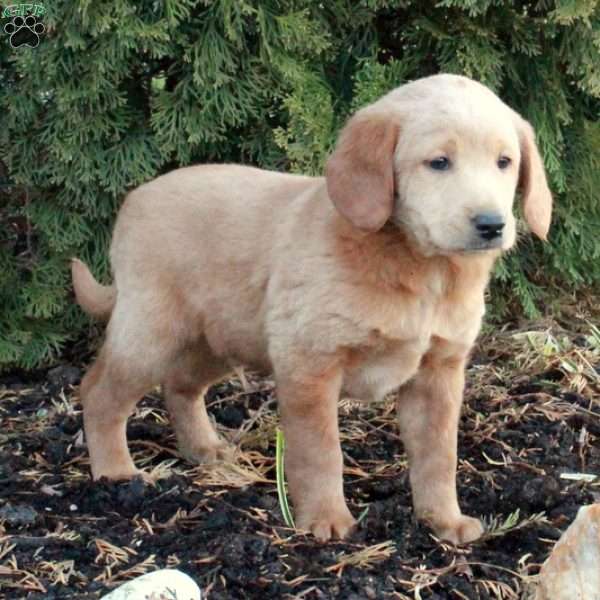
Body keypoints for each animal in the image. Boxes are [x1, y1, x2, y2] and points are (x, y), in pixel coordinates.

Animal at [72, 74, 552, 544]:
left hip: (218, 338)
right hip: (150, 334)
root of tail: (134, 199)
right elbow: (321, 452)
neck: (422, 270)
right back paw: (116, 472)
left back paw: (203, 448)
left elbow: (438, 456)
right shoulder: (309, 364)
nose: (492, 224)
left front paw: (443, 521)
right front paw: (325, 519)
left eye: (504, 162)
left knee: (180, 386)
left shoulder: (438, 373)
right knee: (98, 393)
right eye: (438, 163)